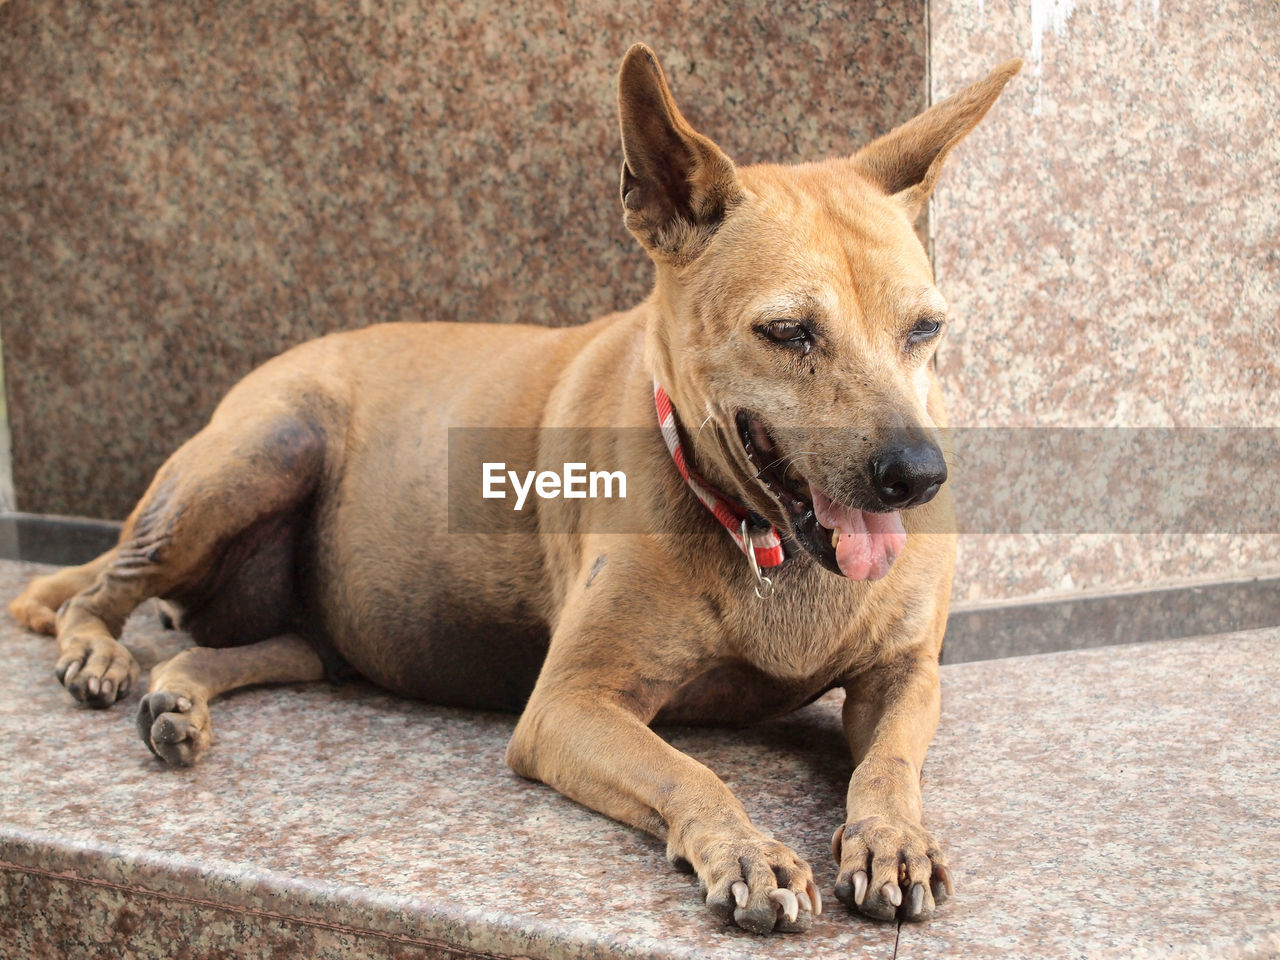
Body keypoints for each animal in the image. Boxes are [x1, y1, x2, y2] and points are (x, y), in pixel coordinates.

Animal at [12, 45, 1018, 942]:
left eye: (925, 329)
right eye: (788, 332)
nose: (917, 476)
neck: (763, 541)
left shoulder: (905, 675)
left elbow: (889, 763)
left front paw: (890, 837)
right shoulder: (570, 706)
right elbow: (694, 774)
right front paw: (745, 851)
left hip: (313, 629)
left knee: (231, 649)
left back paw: (177, 701)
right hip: (259, 453)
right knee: (107, 586)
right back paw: (96, 652)